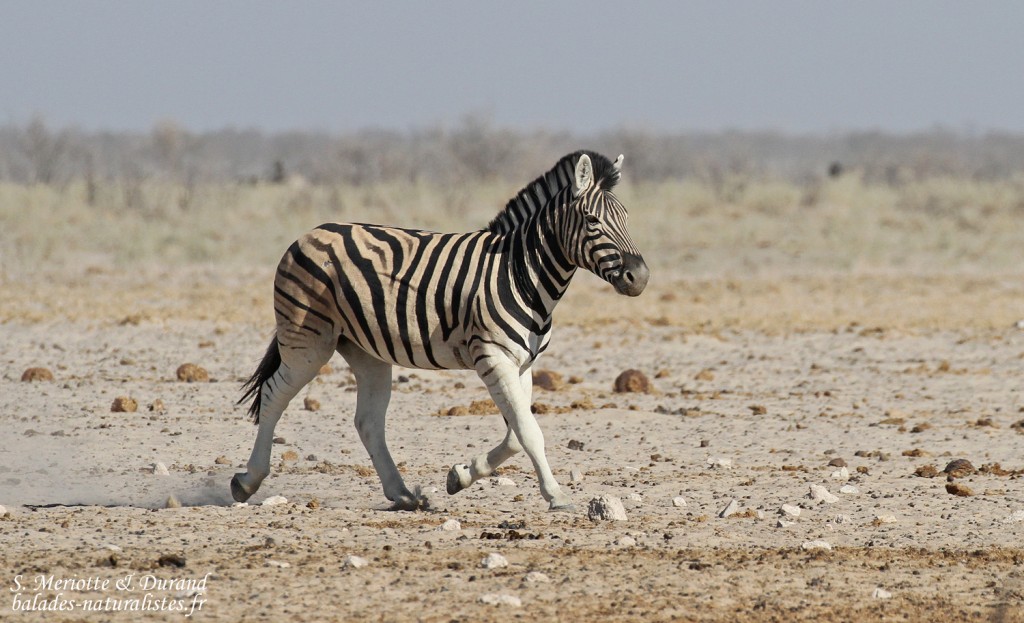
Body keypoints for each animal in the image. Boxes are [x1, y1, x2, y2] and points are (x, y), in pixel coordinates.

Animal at [231, 150, 649, 511]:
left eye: (628, 218)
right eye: (593, 221)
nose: (640, 277)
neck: (520, 272)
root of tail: (309, 233)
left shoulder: (522, 363)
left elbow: (516, 434)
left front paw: (461, 475)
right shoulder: (493, 357)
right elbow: (529, 432)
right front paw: (557, 496)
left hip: (365, 350)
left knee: (368, 422)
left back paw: (402, 495)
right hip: (308, 340)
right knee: (274, 394)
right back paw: (247, 482)